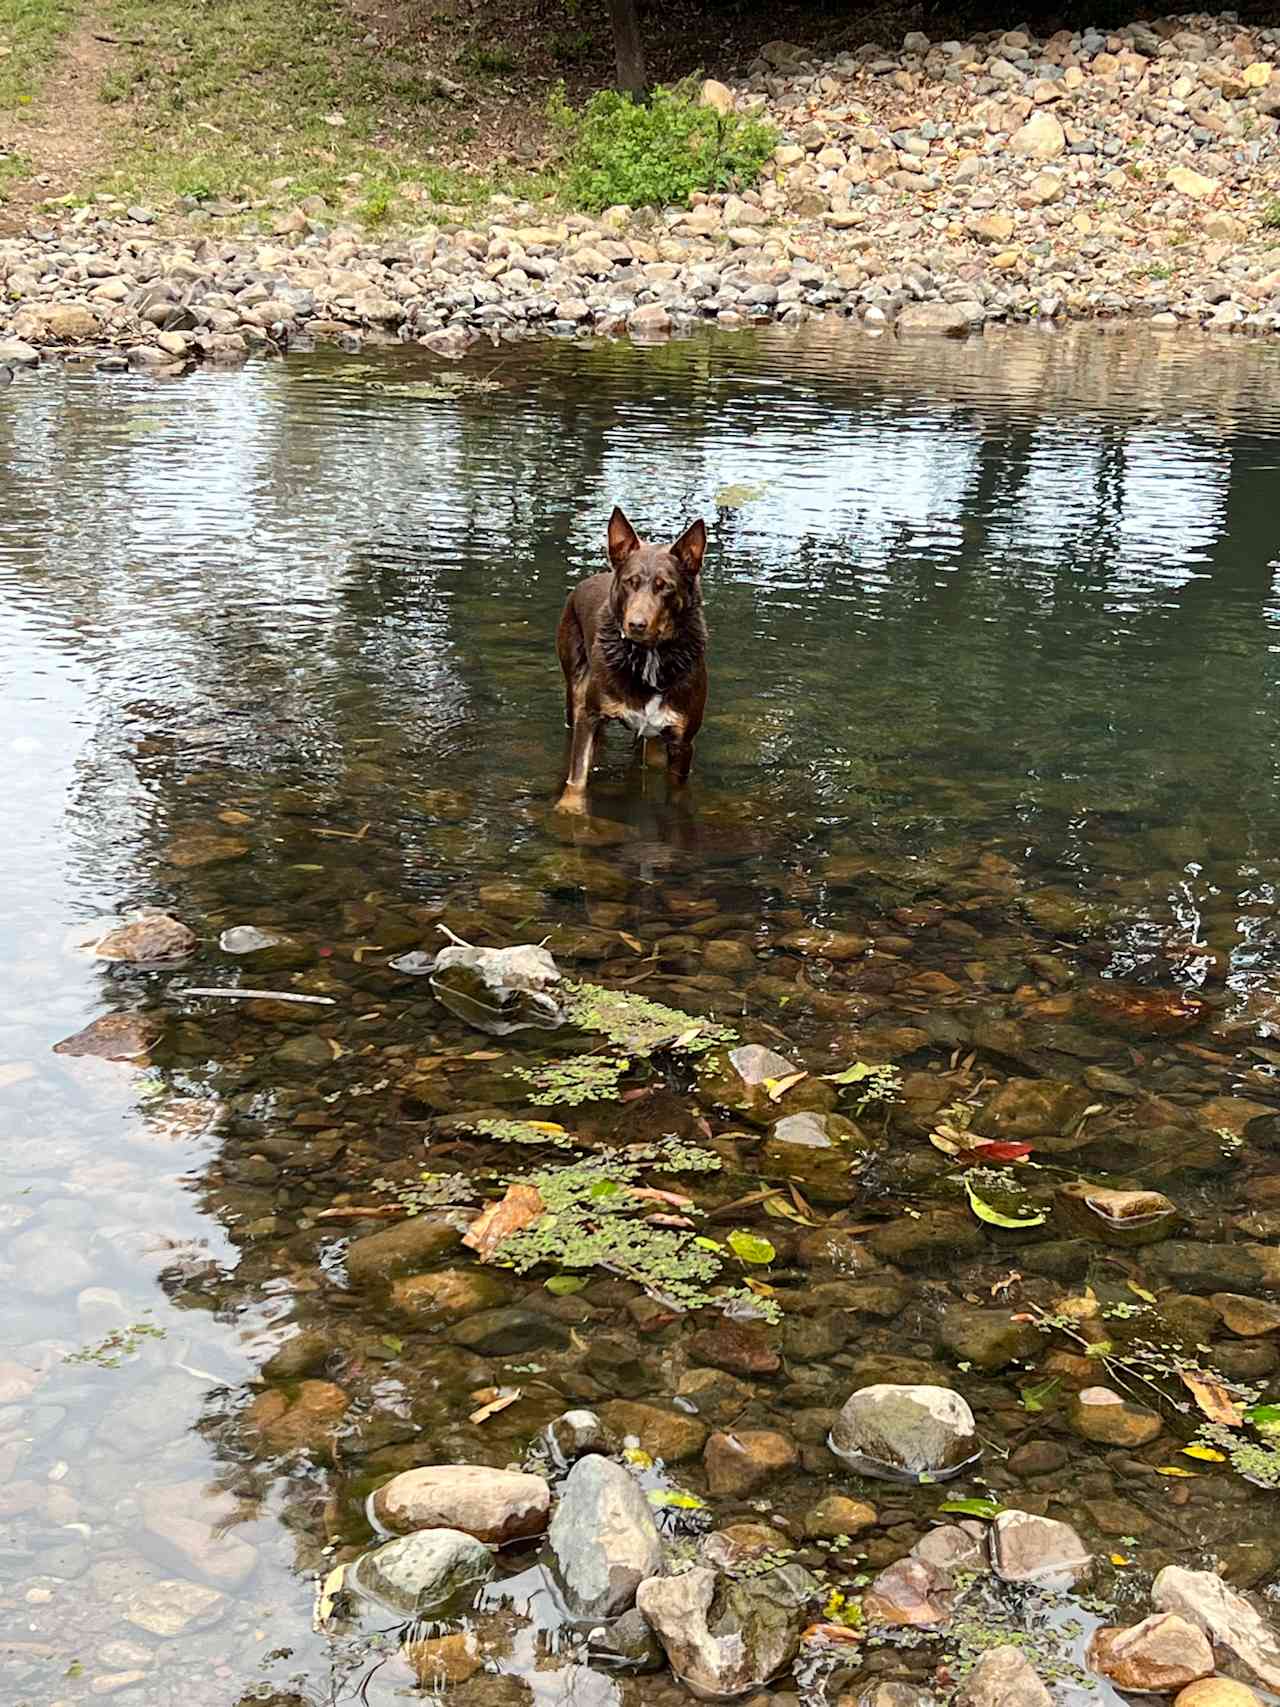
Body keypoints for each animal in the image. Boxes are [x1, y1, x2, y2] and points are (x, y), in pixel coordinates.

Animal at [552, 505, 706, 812]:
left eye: (665, 586)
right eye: (629, 583)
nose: (636, 624)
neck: (649, 657)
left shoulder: (683, 740)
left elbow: (677, 789)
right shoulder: (589, 715)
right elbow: (578, 773)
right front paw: (570, 808)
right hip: (575, 685)